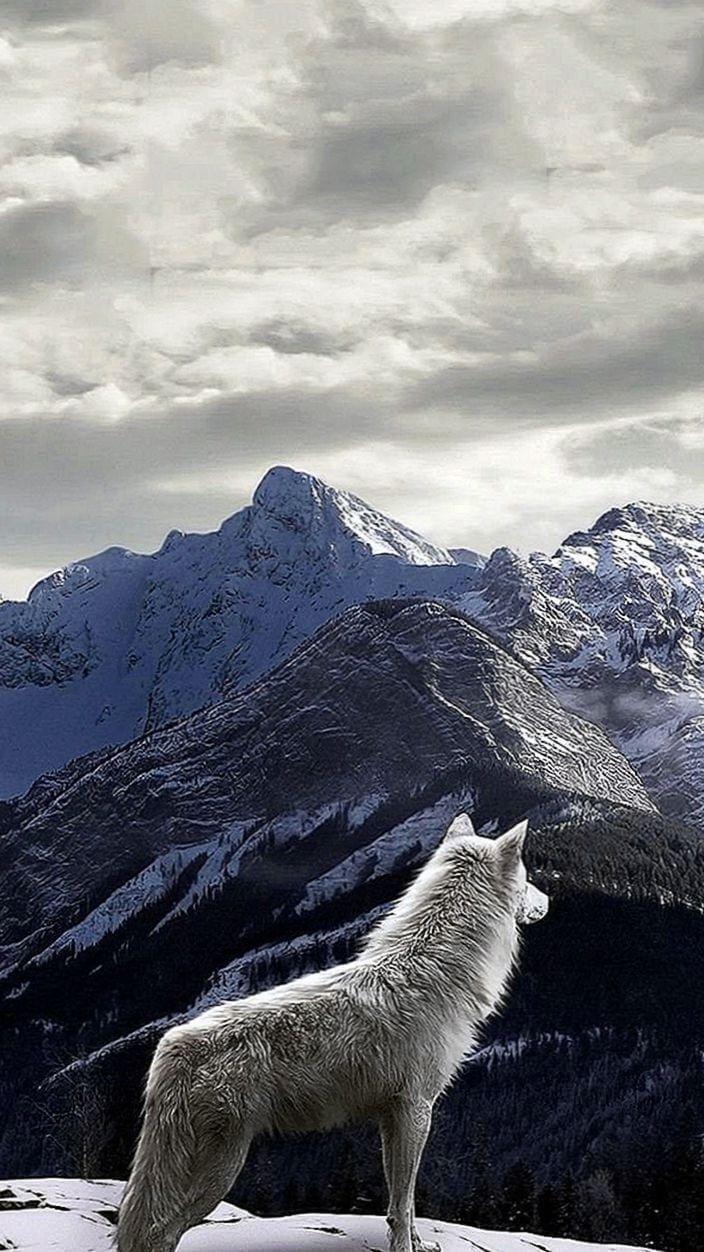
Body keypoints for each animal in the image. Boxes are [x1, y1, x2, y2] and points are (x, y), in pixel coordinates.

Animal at [117, 814, 548, 1252]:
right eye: (528, 878)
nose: (547, 900)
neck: (436, 968)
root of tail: (172, 1046)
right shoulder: (416, 1109)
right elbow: (404, 1200)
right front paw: (406, 1248)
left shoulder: (393, 1116)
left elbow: (402, 1203)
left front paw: (418, 1243)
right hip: (220, 1172)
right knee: (158, 1233)